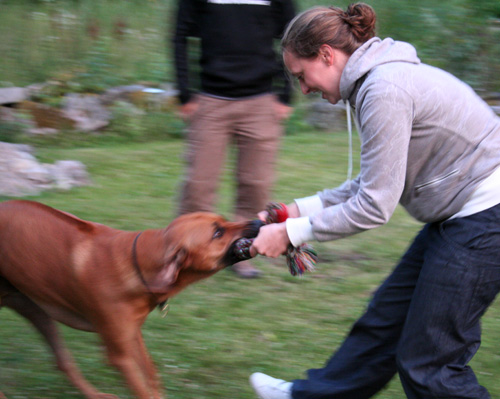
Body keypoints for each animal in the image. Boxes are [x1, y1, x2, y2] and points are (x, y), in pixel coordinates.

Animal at [0, 202, 260, 398]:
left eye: (224, 220)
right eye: (217, 233)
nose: (258, 222)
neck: (137, 265)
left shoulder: (132, 334)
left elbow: (152, 376)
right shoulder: (120, 356)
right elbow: (142, 389)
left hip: (34, 308)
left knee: (63, 361)